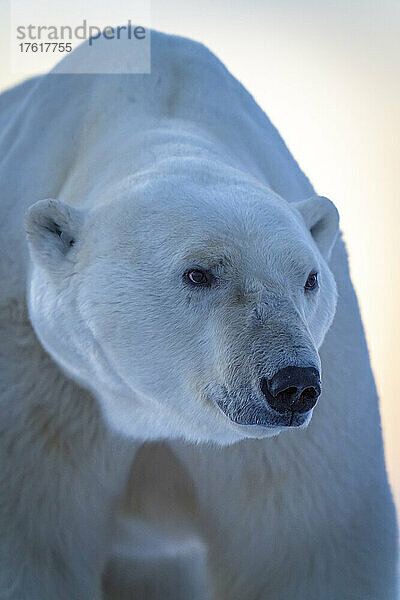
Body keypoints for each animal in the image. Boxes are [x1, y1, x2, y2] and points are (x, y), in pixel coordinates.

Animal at [0, 31, 396, 600]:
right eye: (198, 273)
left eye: (309, 278)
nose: (293, 382)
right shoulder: (42, 383)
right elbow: (32, 539)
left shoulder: (303, 429)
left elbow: (307, 545)